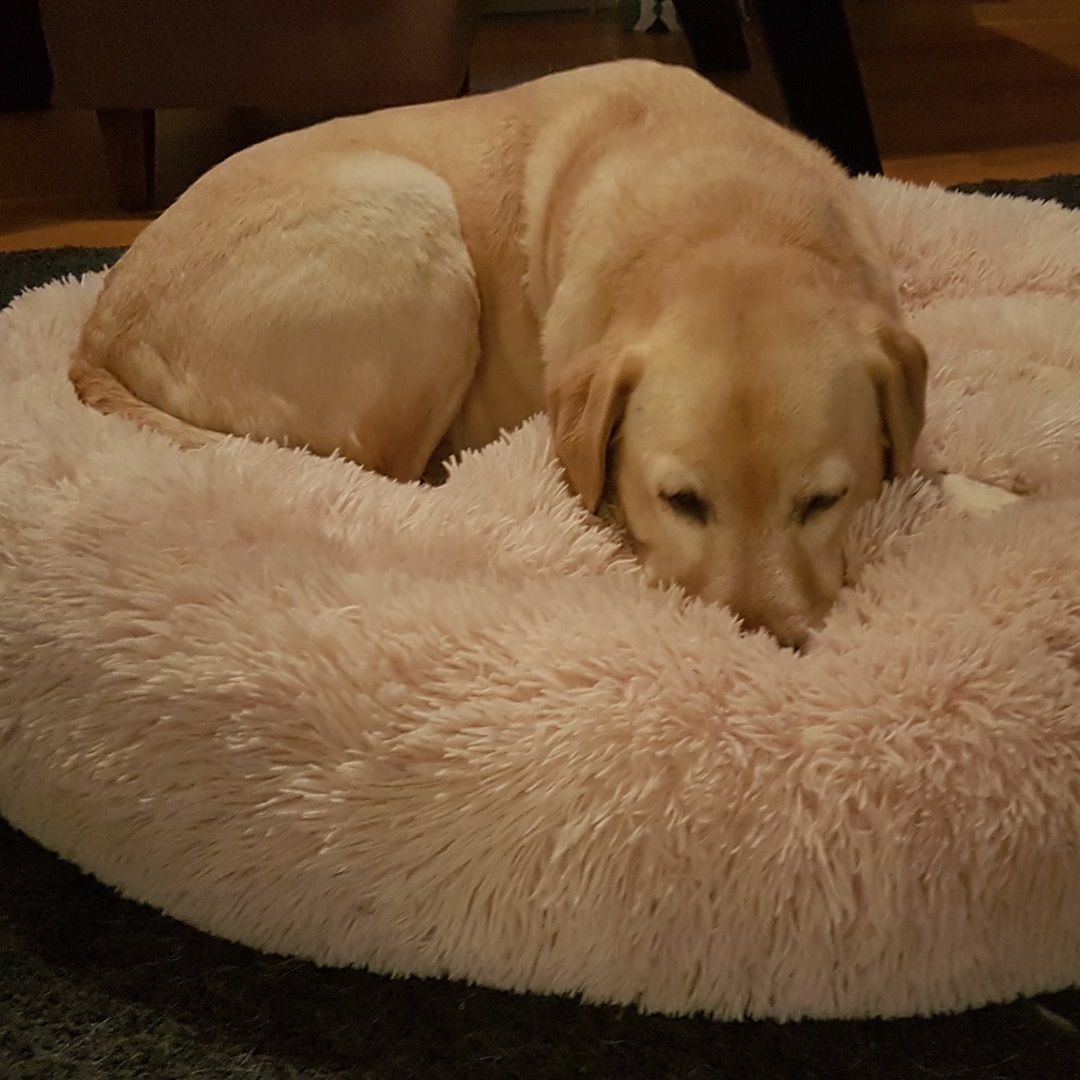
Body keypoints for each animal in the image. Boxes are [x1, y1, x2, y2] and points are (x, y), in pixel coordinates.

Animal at [71, 59, 924, 643]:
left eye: (825, 501)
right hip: (415, 231)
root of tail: (100, 328)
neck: (732, 218)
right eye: (679, 500)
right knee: (391, 470)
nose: (755, 643)